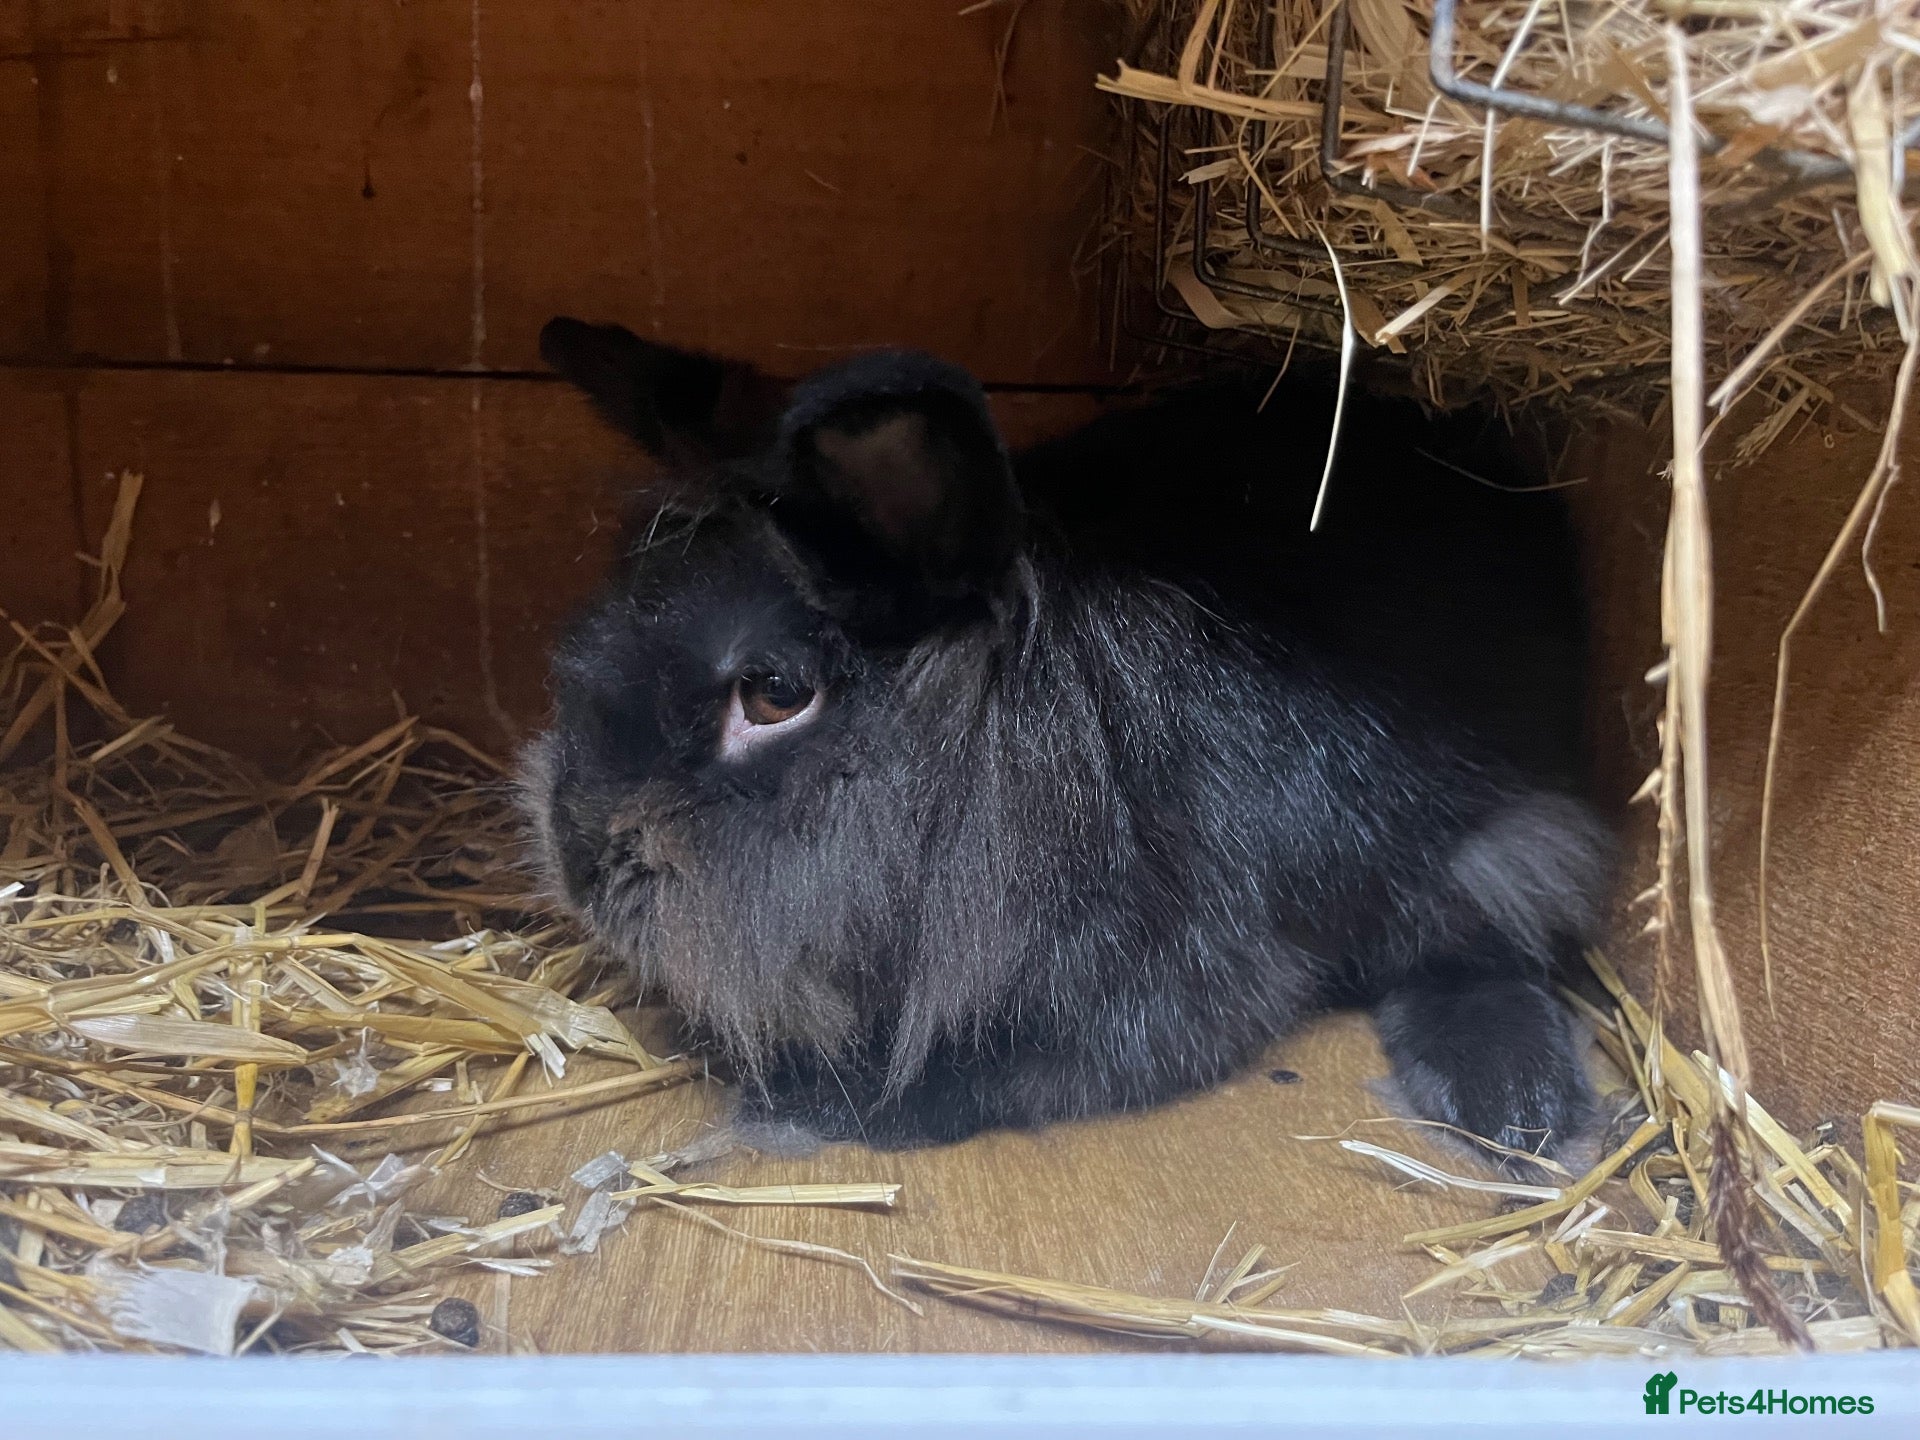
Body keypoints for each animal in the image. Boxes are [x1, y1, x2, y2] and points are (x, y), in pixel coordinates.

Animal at [521, 316, 1615, 1159]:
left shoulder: (1178, 985)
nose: (580, 863)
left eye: (775, 693)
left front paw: (807, 1103)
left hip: (1492, 844)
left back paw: (1517, 1111)